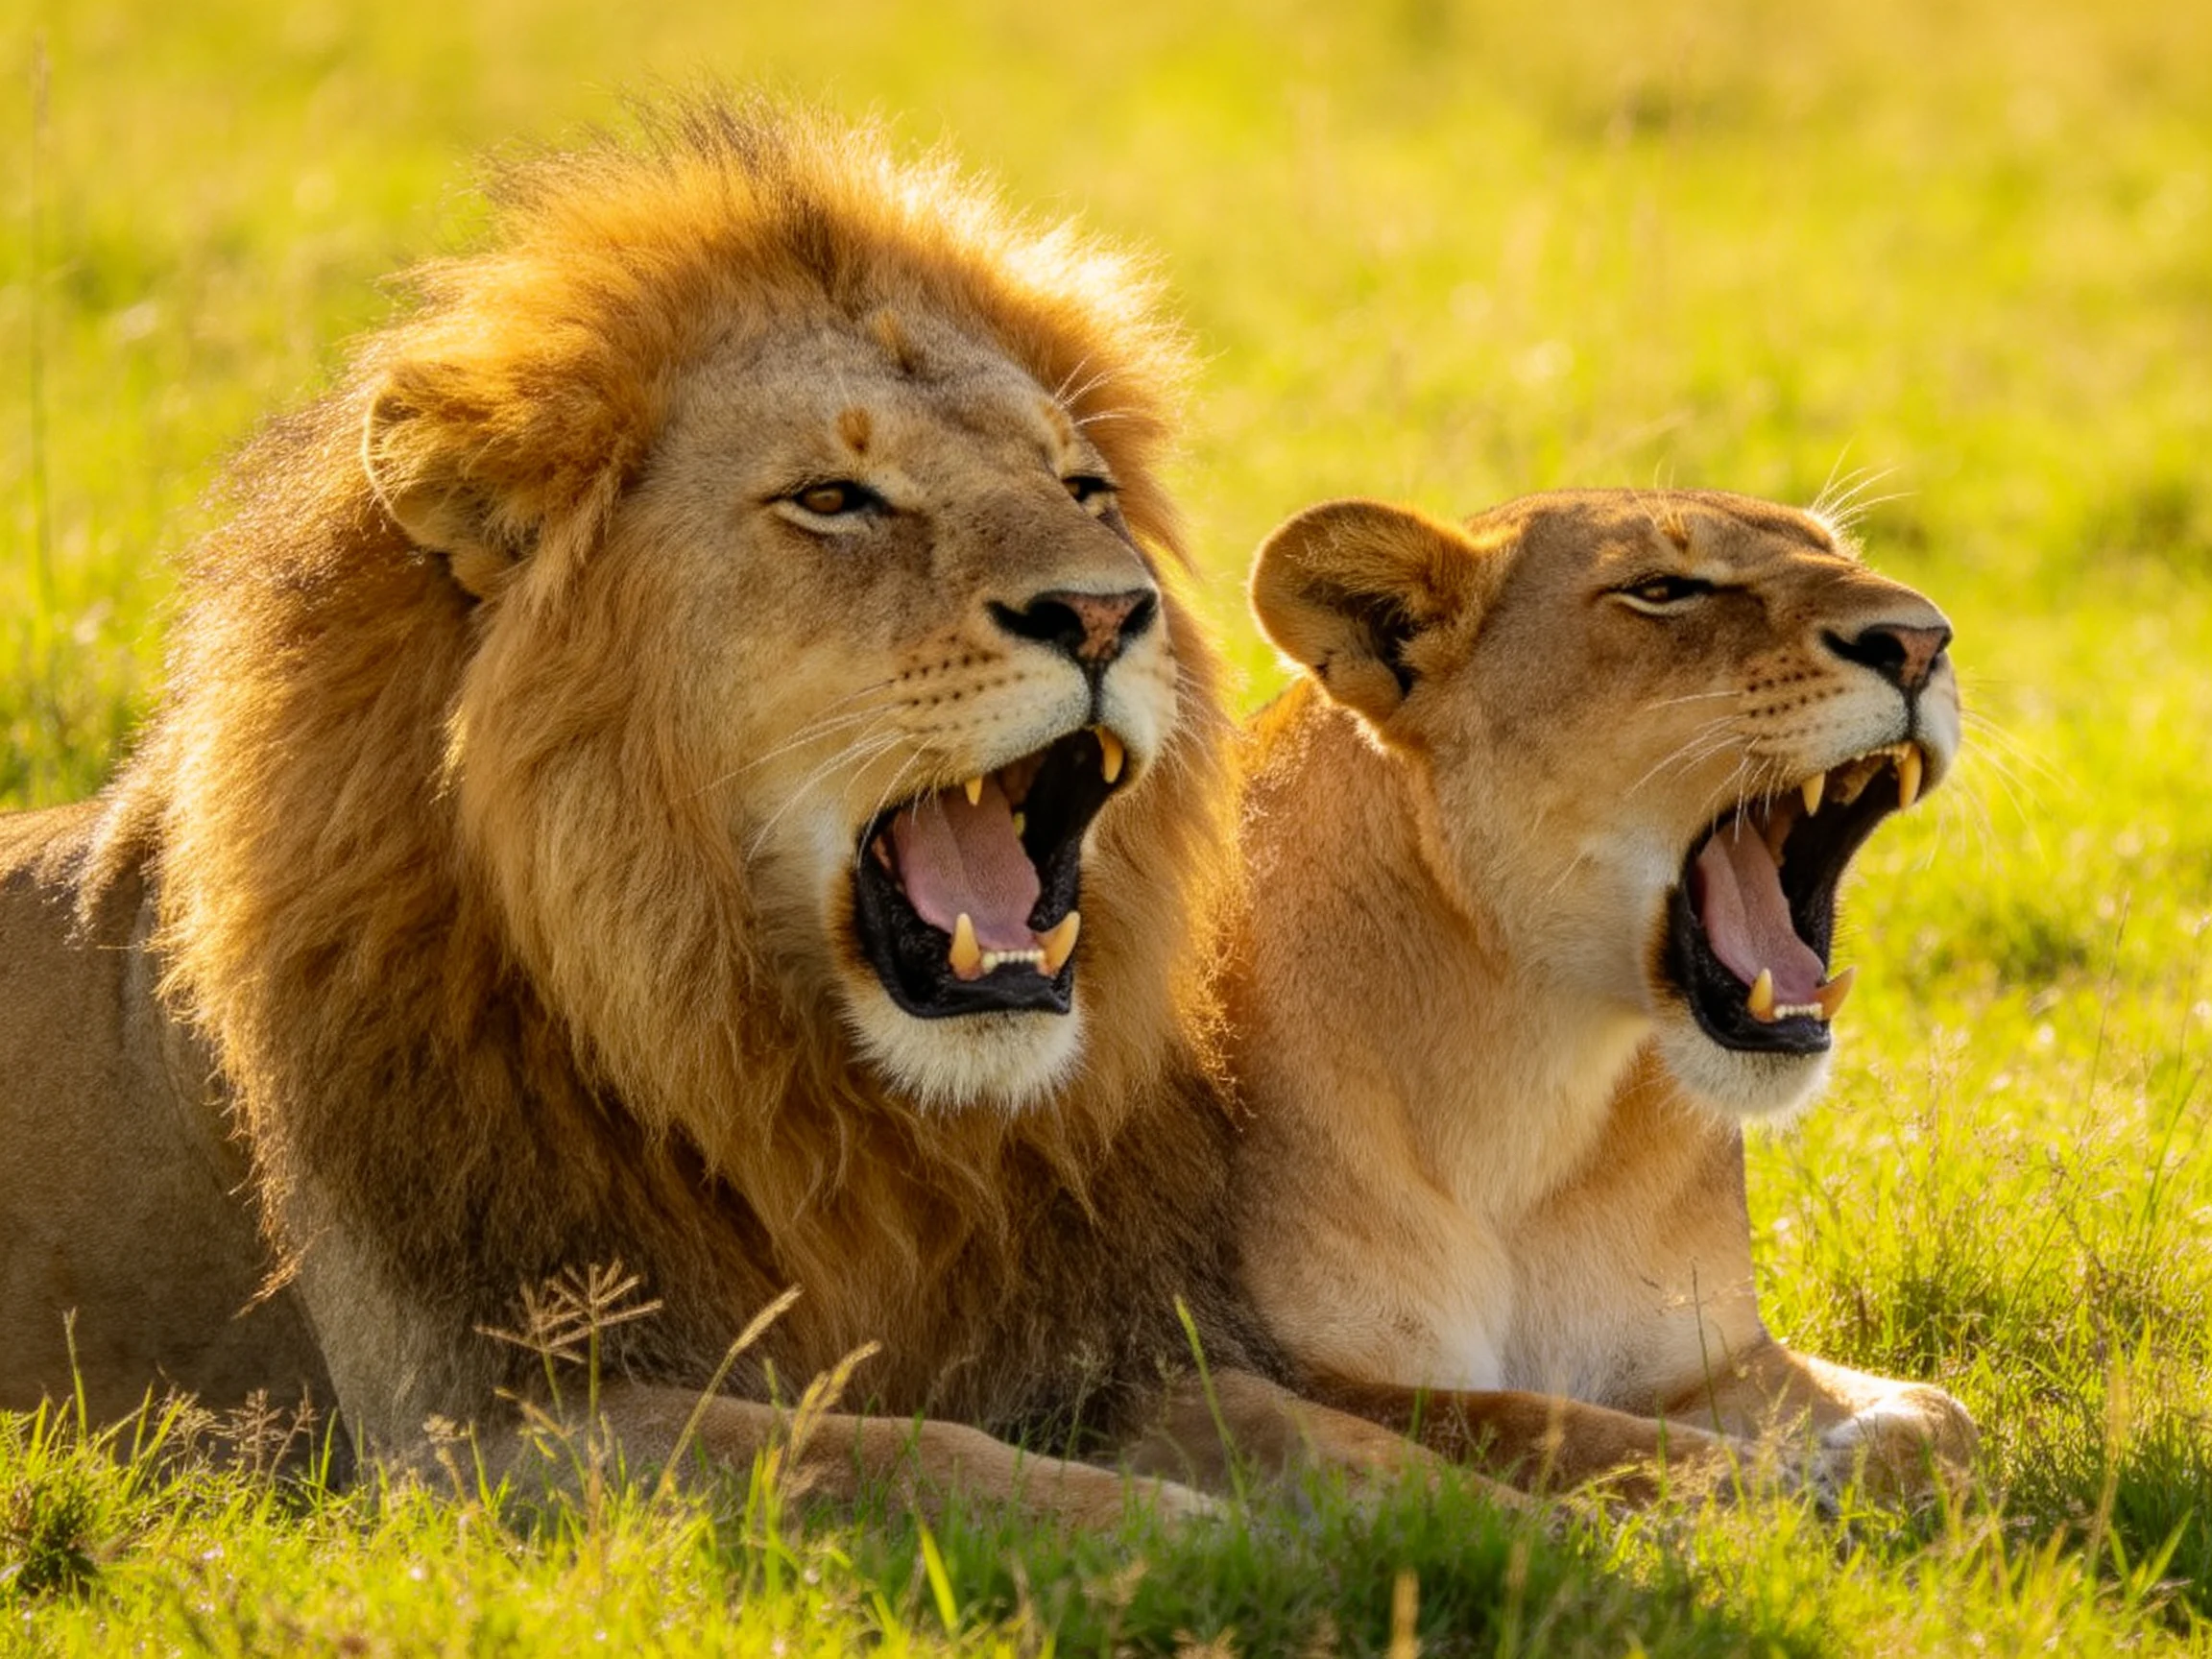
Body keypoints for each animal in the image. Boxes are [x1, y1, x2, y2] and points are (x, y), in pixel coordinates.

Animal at [0, 100, 1465, 1523]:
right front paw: (1202, 1541)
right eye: (832, 499)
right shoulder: (485, 1431)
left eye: (1082, 490)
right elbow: (904, 1463)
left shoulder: (1089, 1348)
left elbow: (1325, 1439)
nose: (1109, 611)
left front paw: (1475, 1534)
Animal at [1224, 490, 1978, 1504]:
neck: (1536, 1089)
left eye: (1837, 553)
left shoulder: (1701, 1360)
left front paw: (1866, 1454)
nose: (1921, 639)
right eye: (1661, 590)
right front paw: (1793, 1488)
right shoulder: (1281, 1364)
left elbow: (1946, 1415)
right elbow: (1555, 1430)